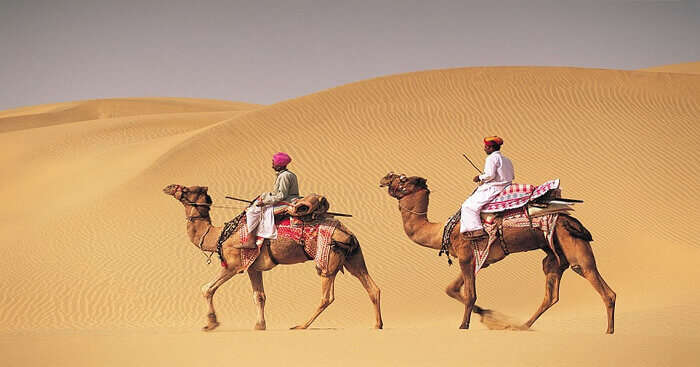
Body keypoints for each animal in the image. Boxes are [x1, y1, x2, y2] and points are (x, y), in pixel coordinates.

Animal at [163, 185, 382, 332]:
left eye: (185, 189)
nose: (168, 187)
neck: (217, 235)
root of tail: (348, 234)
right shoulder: (253, 267)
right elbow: (259, 296)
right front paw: (260, 325)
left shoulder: (233, 264)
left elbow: (207, 288)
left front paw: (211, 323)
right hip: (353, 257)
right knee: (372, 287)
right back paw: (377, 324)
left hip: (328, 259)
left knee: (327, 297)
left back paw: (301, 326)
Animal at [380, 172, 616, 334]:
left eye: (403, 180)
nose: (385, 177)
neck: (441, 231)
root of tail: (571, 219)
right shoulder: (478, 260)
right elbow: (452, 289)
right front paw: (488, 315)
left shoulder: (466, 256)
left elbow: (470, 294)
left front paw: (464, 325)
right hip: (554, 256)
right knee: (552, 294)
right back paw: (522, 326)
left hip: (573, 248)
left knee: (598, 283)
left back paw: (609, 330)